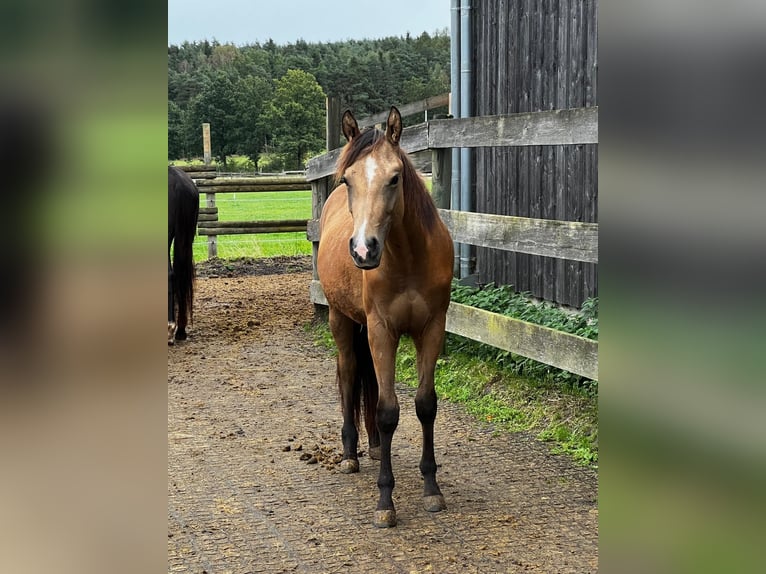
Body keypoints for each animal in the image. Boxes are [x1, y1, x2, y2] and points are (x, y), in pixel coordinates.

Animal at [318, 108, 456, 532]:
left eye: (394, 177)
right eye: (348, 179)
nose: (364, 250)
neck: (409, 259)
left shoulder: (432, 329)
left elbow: (424, 405)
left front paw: (432, 489)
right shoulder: (382, 331)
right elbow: (387, 411)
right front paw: (385, 500)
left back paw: (377, 447)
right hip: (341, 321)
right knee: (348, 374)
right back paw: (350, 453)